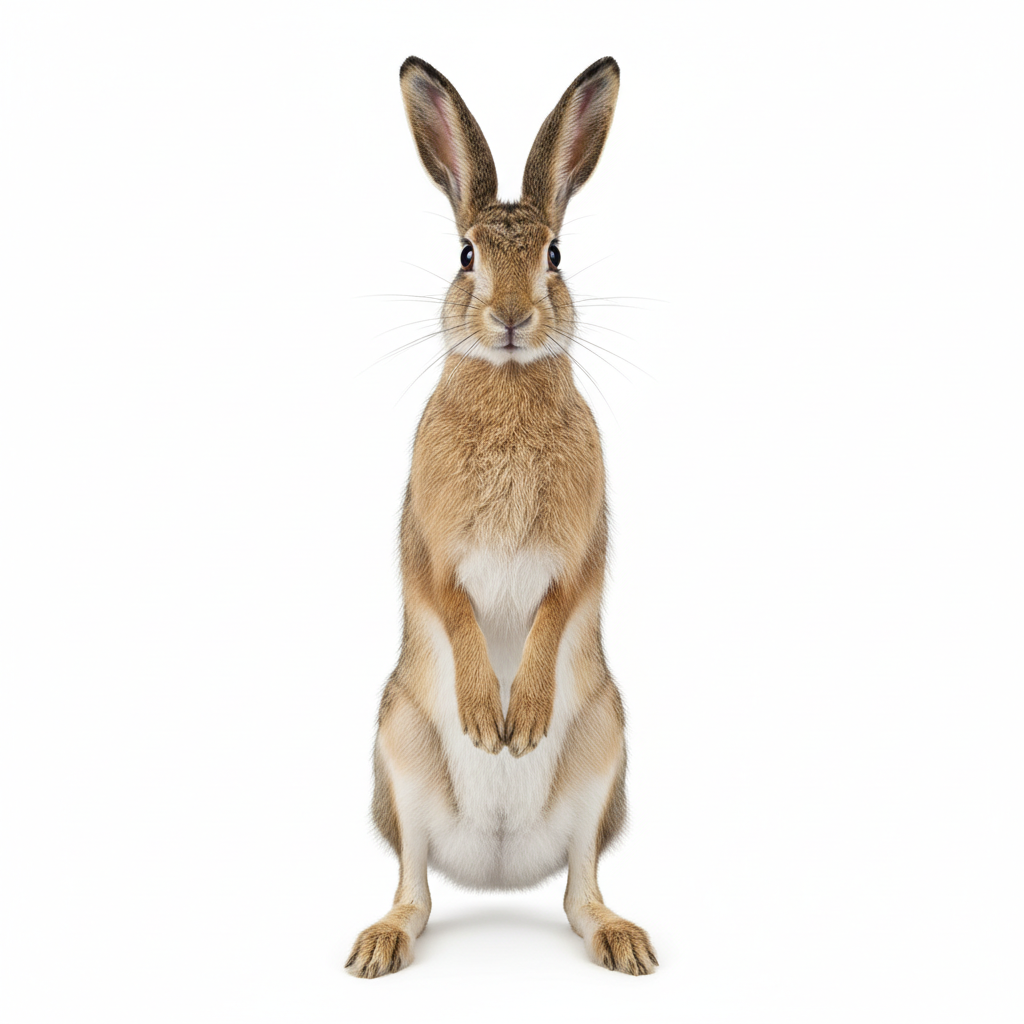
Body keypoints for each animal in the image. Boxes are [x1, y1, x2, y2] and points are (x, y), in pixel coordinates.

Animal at [345, 55, 657, 979]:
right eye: (466, 255)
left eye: (554, 253)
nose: (512, 317)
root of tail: (497, 866)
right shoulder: (426, 543)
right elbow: (450, 604)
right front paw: (490, 718)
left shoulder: (585, 547)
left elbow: (558, 607)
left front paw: (524, 718)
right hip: (400, 748)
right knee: (415, 887)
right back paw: (381, 943)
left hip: (604, 747)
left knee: (579, 891)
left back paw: (621, 939)